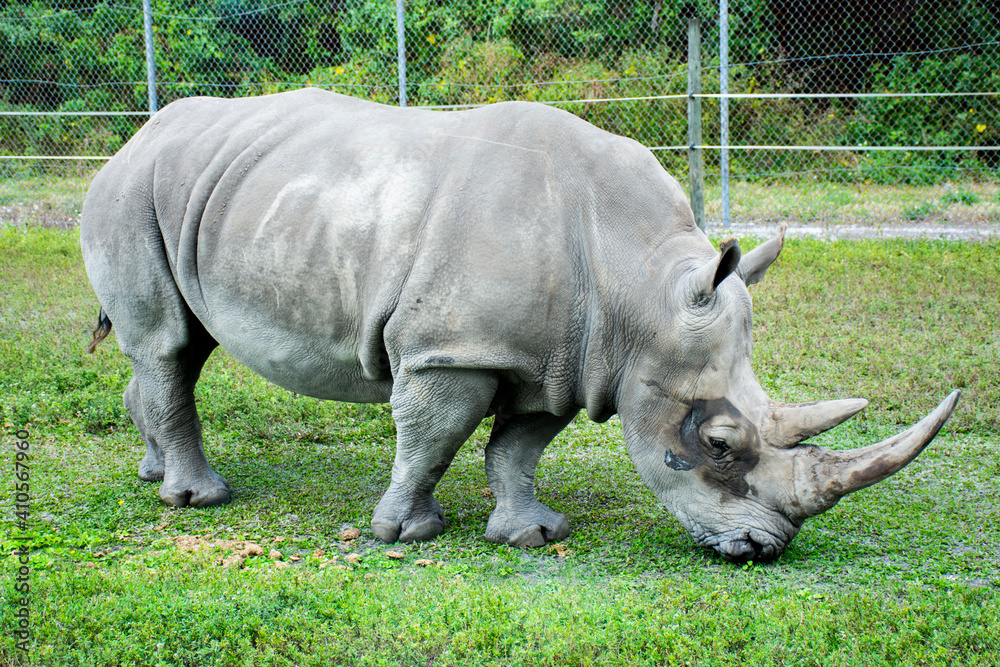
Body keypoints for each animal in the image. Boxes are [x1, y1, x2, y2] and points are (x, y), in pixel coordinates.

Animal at [81, 88, 959, 562]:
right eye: (717, 443)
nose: (765, 549)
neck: (638, 284)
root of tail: (133, 136)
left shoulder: (569, 355)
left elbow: (519, 444)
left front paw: (531, 534)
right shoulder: (451, 351)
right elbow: (434, 438)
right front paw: (406, 533)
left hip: (216, 191)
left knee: (176, 346)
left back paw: (153, 475)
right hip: (129, 191)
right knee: (167, 345)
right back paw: (199, 500)